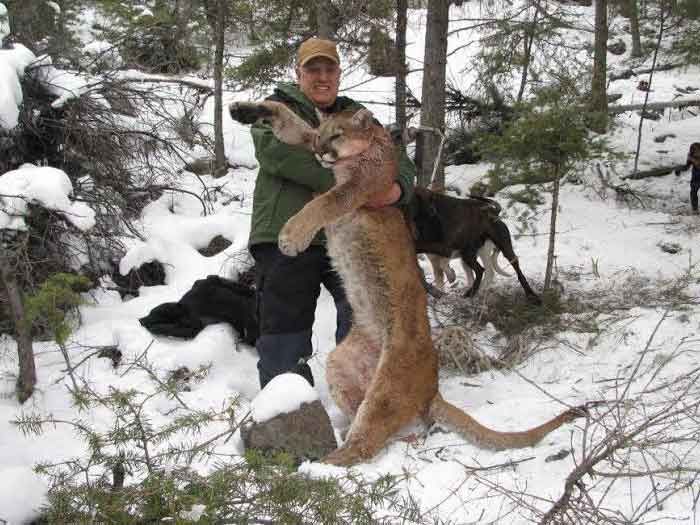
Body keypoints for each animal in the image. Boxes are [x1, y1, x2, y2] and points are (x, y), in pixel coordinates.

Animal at [229, 100, 590, 466]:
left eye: (337, 135)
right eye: (321, 135)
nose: (320, 150)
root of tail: (433, 387)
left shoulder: (362, 187)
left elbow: (324, 201)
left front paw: (290, 237)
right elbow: (290, 121)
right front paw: (246, 110)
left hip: (388, 389)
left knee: (365, 443)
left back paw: (315, 467)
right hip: (342, 365)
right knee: (368, 426)